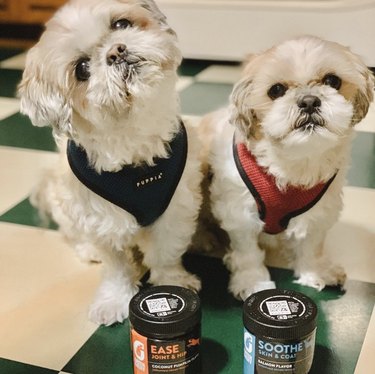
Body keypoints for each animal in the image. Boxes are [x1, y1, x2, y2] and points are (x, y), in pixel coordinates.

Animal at [18, 0, 203, 324]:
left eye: (121, 24)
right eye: (81, 69)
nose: (116, 51)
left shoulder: (173, 209)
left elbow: (165, 253)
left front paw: (173, 283)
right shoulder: (101, 219)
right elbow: (116, 268)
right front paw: (114, 299)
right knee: (73, 234)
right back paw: (87, 249)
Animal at [204, 37, 374, 300]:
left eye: (332, 81)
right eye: (276, 90)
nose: (309, 101)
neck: (294, 163)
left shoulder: (319, 211)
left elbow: (311, 245)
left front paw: (315, 271)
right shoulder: (239, 214)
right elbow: (248, 253)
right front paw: (252, 281)